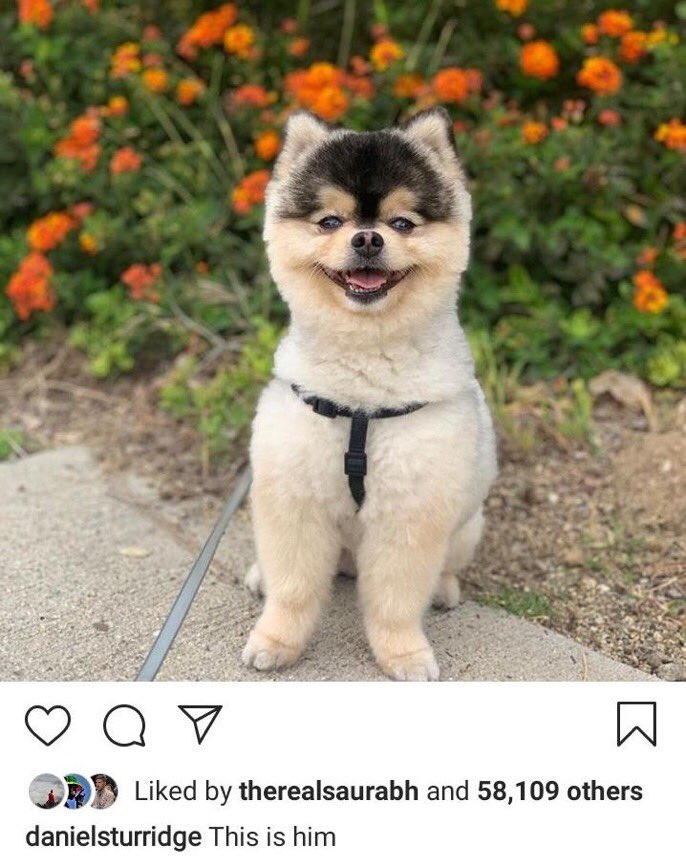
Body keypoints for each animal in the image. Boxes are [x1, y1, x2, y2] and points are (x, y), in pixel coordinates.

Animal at [242, 107, 497, 681]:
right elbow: (293, 588)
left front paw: (403, 654)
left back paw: (445, 589)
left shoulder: (411, 510)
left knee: (445, 566)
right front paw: (276, 640)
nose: (367, 240)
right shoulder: (293, 498)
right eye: (329, 222)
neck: (361, 401)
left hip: (469, 525)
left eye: (402, 224)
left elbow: (395, 601)